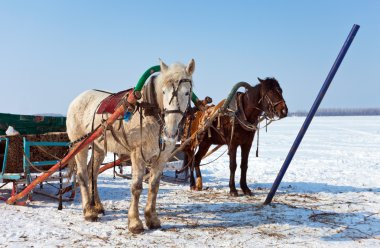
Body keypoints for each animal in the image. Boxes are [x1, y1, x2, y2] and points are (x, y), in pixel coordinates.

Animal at [65, 59, 194, 233]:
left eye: (187, 93)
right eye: (163, 91)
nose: (171, 130)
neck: (150, 113)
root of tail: (77, 99)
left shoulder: (162, 156)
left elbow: (154, 186)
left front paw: (152, 218)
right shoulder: (138, 154)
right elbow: (137, 187)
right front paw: (135, 222)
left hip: (99, 147)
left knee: (93, 172)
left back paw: (97, 206)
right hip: (81, 145)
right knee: (82, 174)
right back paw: (89, 211)